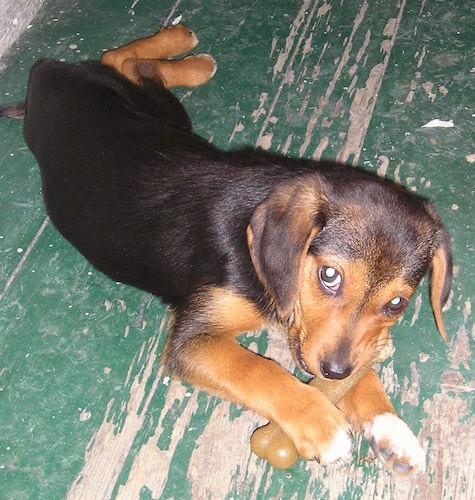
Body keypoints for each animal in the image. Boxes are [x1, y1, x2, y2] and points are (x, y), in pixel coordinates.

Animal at [12, 25, 454, 474]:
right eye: (329, 275)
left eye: (397, 304)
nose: (333, 371)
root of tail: (50, 73)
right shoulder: (194, 341)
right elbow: (258, 370)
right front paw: (319, 421)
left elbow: (354, 366)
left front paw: (390, 426)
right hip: (161, 112)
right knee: (117, 59)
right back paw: (184, 46)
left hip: (166, 116)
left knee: (125, 62)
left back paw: (186, 53)